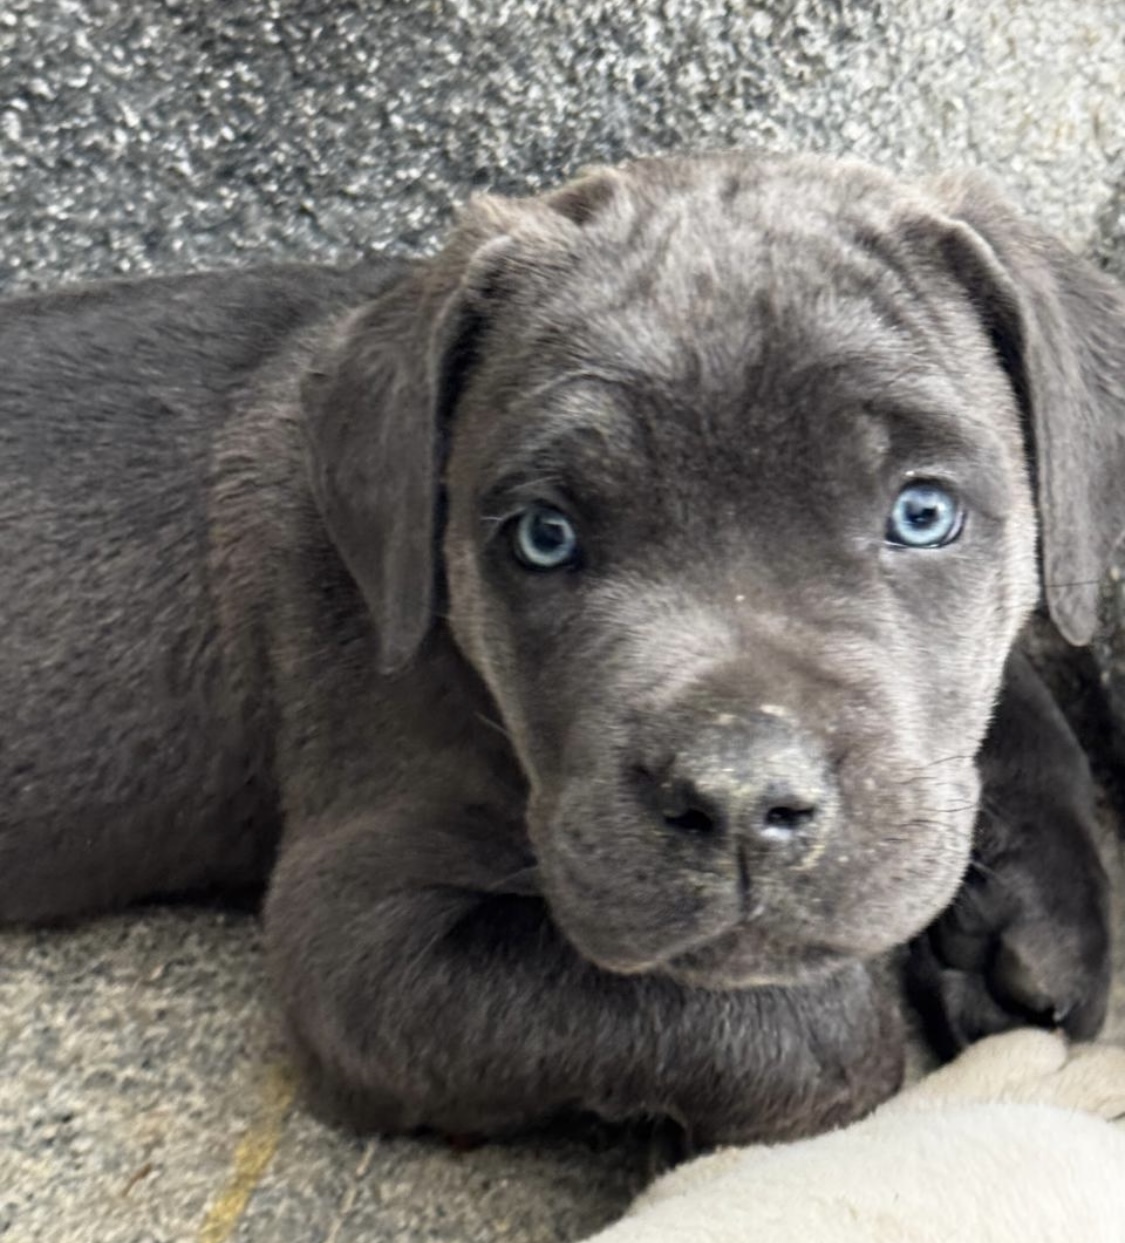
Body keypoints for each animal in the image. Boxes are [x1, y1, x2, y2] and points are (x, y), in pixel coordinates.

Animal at [0, 155, 1118, 1143]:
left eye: (922, 513)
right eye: (544, 536)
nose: (739, 799)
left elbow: (1008, 690)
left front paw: (1031, 905)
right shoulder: (357, 944)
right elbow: (764, 1021)